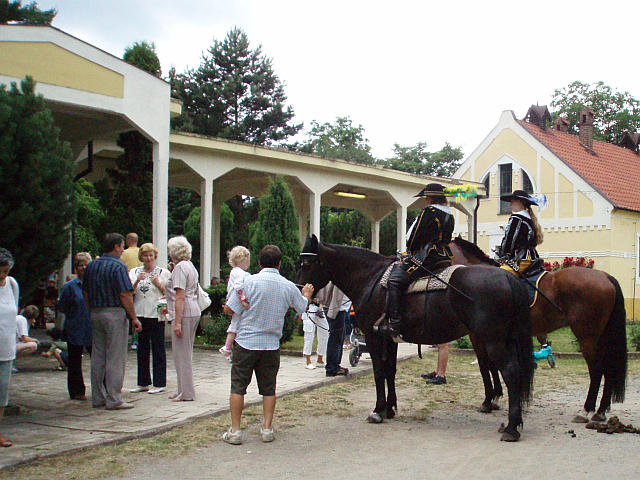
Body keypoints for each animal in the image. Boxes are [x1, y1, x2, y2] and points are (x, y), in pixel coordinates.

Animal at [296, 236, 536, 442]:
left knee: (511, 372)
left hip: (493, 341)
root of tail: (508, 277)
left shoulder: (374, 337)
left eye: (306, 263)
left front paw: (377, 410)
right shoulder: (389, 338)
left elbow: (378, 372)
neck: (370, 278)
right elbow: (390, 371)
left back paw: (511, 428)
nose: (301, 291)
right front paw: (390, 408)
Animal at [452, 238, 628, 422]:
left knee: (596, 369)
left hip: (587, 338)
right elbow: (493, 366)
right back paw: (601, 411)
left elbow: (485, 366)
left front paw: (488, 400)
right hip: (601, 338)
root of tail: (605, 276)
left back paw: (587, 410)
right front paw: (495, 397)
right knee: (608, 368)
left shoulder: (479, 336)